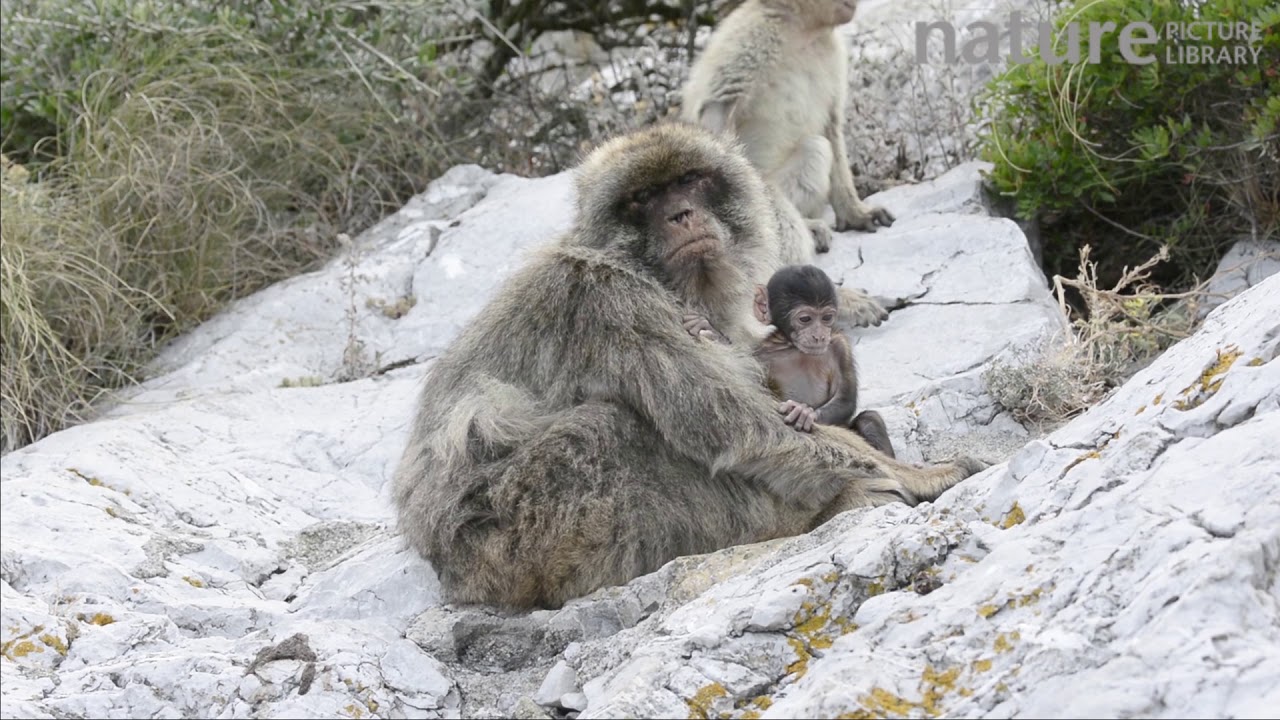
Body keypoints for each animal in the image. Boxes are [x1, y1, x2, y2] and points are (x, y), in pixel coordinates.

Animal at [681, 0, 896, 245]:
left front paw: (855, 213)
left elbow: (831, 126)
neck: (802, 29)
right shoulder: (753, 37)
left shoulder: (833, 53)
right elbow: (716, 108)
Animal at [751, 264, 896, 458]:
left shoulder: (840, 345)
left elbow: (845, 399)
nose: (819, 336)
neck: (793, 347)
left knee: (869, 419)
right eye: (805, 319)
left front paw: (805, 413)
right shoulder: (758, 357)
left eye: (826, 318)